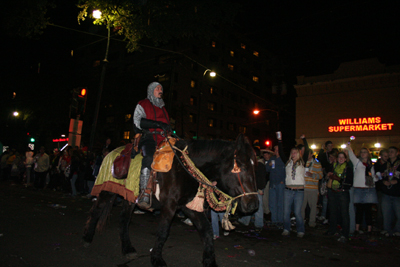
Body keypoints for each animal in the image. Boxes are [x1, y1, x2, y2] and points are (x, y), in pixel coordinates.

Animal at [83, 135, 260, 266]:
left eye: (254, 166)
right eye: (241, 166)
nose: (253, 204)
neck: (184, 169)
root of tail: (109, 153)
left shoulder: (188, 206)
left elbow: (206, 230)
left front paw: (210, 260)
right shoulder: (169, 205)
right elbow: (163, 231)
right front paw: (156, 258)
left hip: (129, 196)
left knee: (124, 219)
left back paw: (127, 248)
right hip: (107, 189)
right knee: (96, 210)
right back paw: (87, 237)